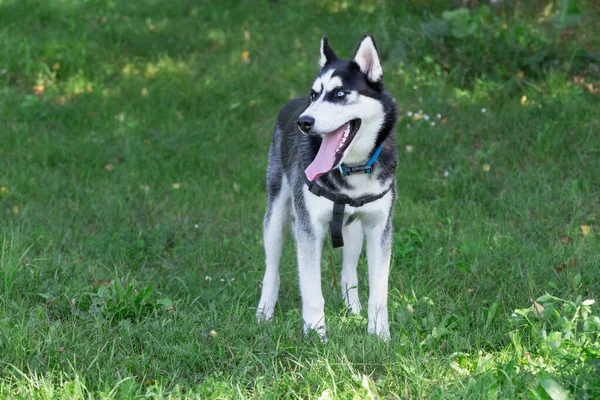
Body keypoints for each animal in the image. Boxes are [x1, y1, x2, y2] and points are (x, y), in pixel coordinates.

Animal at [255, 35, 396, 340]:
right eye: (314, 94)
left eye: (340, 94)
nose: (304, 122)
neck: (352, 169)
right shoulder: (308, 228)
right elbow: (311, 292)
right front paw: (316, 333)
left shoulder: (379, 227)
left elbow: (379, 292)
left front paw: (380, 334)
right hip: (276, 214)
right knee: (271, 268)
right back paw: (264, 311)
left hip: (354, 230)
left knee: (348, 271)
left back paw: (352, 308)